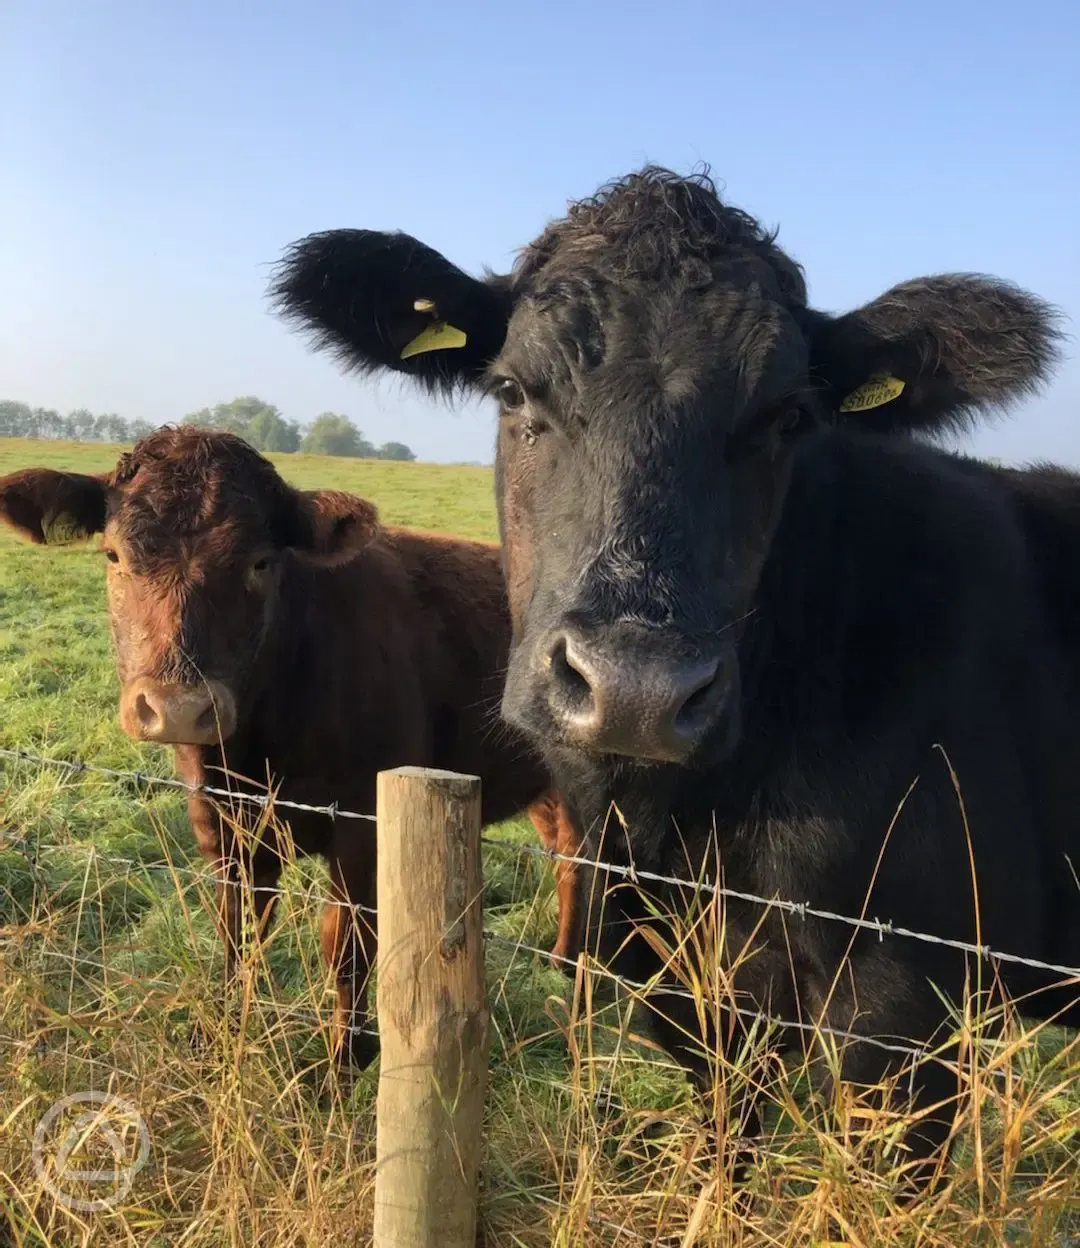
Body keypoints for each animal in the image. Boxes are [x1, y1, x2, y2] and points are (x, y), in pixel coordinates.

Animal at [0, 426, 580, 1065]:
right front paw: (227, 1035)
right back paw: (561, 967)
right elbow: (238, 935)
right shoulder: (222, 828)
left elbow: (346, 950)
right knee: (568, 857)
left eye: (261, 561)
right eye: (114, 556)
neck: (260, 754)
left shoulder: (365, 830)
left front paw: (343, 1064)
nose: (178, 706)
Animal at [267, 165, 1080, 1191]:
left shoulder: (910, 1005)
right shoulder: (682, 976)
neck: (698, 830)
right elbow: (727, 1144)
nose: (635, 690)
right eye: (513, 389)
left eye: (787, 417)